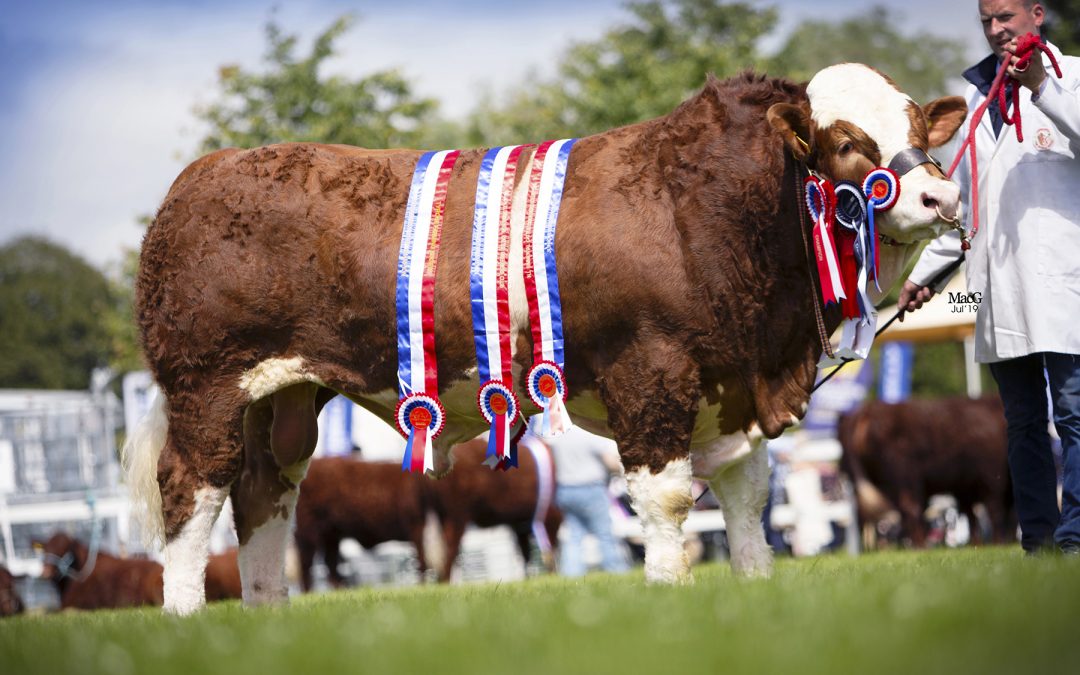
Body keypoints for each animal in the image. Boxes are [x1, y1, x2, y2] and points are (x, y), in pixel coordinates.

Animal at [122, 63, 967, 609]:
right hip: (208, 387)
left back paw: (269, 616)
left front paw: (754, 588)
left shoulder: (733, 384)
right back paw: (189, 616)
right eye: (848, 142)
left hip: (286, 400)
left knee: (263, 494)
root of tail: (204, 175)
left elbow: (746, 496)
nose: (941, 195)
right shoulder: (649, 370)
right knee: (193, 491)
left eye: (917, 124)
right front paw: (671, 599)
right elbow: (665, 498)